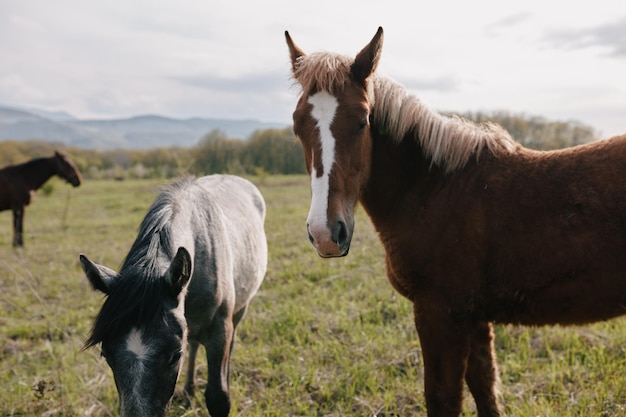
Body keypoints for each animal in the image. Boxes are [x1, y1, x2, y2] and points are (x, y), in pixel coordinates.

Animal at [80, 174, 266, 414]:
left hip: (240, 310)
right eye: (105, 354)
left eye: (175, 355)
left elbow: (218, 397)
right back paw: (188, 391)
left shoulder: (219, 330)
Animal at [286, 26, 624, 416]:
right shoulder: (473, 317)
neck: (433, 189)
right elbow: (485, 389)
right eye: (297, 126)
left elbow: (443, 397)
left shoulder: (441, 314)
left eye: (362, 121)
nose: (326, 233)